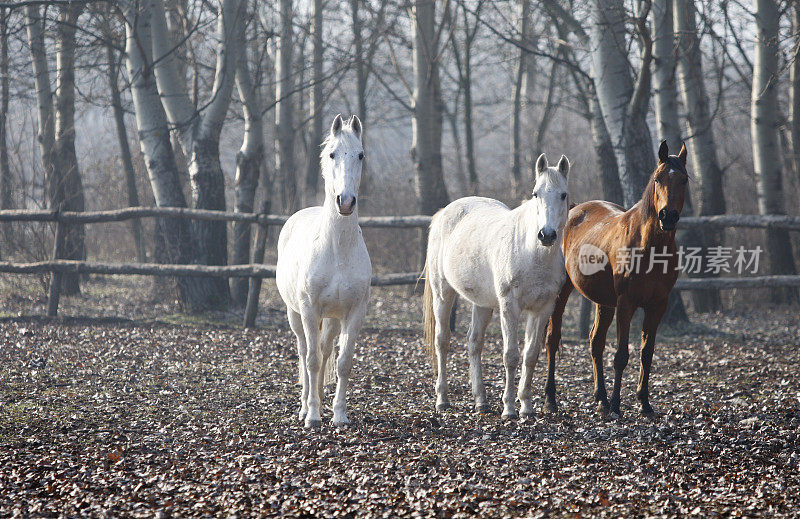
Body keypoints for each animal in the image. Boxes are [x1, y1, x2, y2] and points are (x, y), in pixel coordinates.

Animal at [276, 116, 370, 428]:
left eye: (360, 155)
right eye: (332, 154)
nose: (346, 201)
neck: (337, 249)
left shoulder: (354, 313)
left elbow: (342, 363)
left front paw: (339, 415)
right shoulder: (309, 309)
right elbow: (312, 361)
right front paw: (313, 416)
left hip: (330, 320)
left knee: (325, 349)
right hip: (296, 315)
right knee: (306, 351)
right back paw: (305, 407)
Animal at [424, 153, 568, 418]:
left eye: (563, 194)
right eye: (536, 194)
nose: (546, 235)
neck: (532, 254)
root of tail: (444, 213)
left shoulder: (542, 309)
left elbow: (530, 356)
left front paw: (526, 407)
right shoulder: (509, 307)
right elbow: (511, 355)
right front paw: (509, 408)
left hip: (482, 303)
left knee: (474, 343)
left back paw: (481, 400)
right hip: (443, 294)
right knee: (442, 341)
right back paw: (442, 400)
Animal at [544, 141, 688, 418]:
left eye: (684, 179)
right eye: (658, 178)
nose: (668, 216)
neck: (649, 247)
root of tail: (574, 209)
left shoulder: (658, 305)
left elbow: (647, 353)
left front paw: (644, 402)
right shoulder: (626, 303)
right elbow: (621, 355)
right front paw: (616, 405)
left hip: (604, 302)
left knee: (595, 342)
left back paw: (600, 397)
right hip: (563, 292)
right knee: (553, 339)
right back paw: (551, 399)